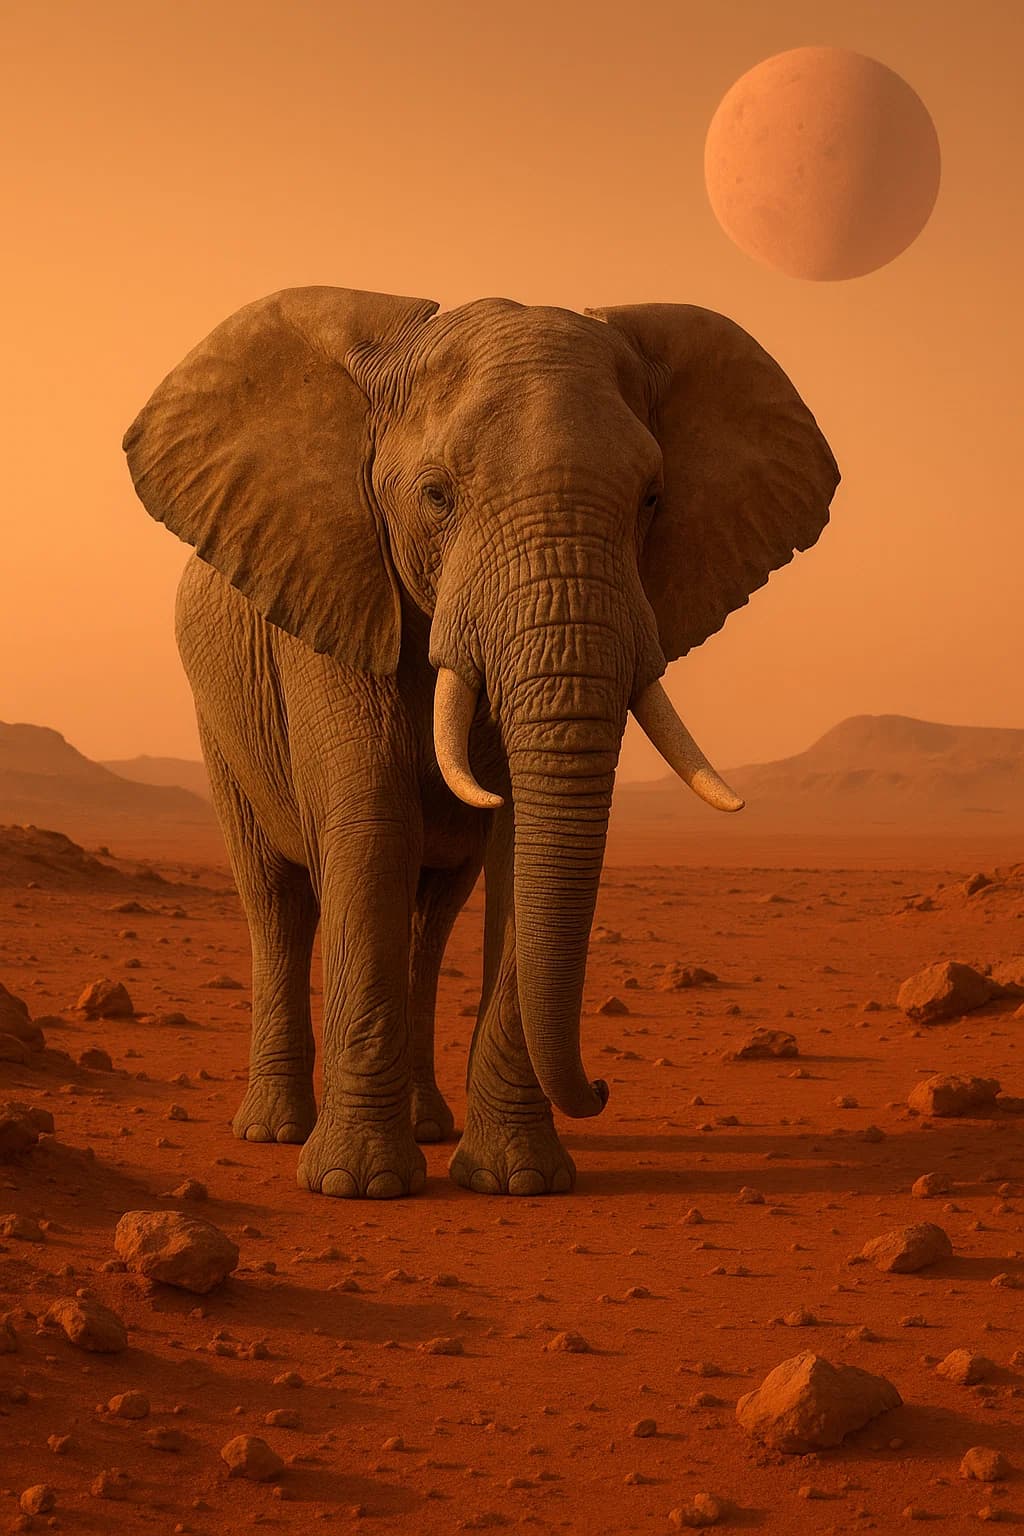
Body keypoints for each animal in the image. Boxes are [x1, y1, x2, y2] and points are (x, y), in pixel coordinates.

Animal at [123, 286, 839, 1200]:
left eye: (652, 498)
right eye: (436, 496)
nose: (603, 1087)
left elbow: (517, 844)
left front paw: (516, 1181)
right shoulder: (330, 587)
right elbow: (371, 825)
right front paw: (358, 1187)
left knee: (431, 919)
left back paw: (427, 1126)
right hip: (219, 727)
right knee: (276, 902)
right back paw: (275, 1132)